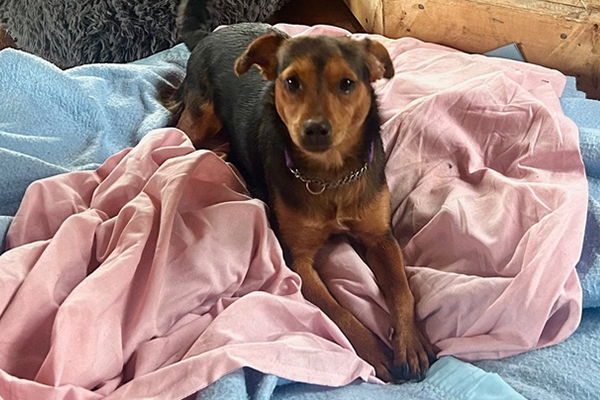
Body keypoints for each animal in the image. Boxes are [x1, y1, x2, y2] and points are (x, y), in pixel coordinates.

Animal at [166, 0, 435, 383]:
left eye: (347, 84)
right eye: (291, 82)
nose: (315, 129)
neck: (330, 174)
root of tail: (211, 34)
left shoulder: (381, 237)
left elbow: (402, 290)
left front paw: (410, 342)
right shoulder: (298, 260)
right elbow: (338, 312)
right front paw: (373, 352)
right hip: (199, 118)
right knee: (178, 128)